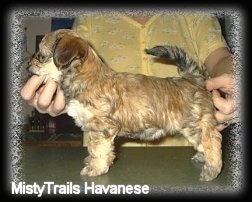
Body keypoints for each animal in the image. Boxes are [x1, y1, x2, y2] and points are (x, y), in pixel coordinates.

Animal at [27, 28, 222, 181]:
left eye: (40, 56)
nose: (28, 63)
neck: (85, 77)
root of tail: (192, 79)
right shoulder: (93, 127)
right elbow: (93, 147)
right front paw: (92, 161)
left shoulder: (102, 127)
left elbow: (99, 149)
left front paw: (95, 168)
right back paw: (202, 157)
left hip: (194, 125)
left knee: (212, 141)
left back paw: (211, 169)